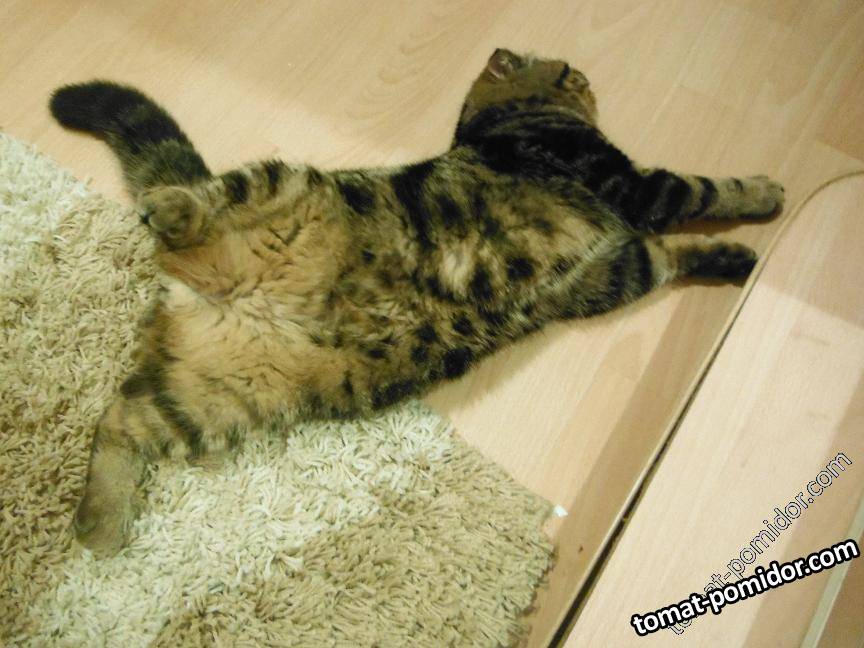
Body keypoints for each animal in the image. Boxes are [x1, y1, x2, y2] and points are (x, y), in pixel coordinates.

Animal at [49, 48, 783, 555]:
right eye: (568, 69)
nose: (588, 75)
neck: (498, 124)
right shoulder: (628, 186)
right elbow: (706, 190)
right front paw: (767, 195)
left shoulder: (611, 271)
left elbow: (670, 257)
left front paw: (734, 259)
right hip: (281, 181)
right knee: (203, 198)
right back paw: (170, 207)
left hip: (216, 397)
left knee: (116, 421)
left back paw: (102, 523)